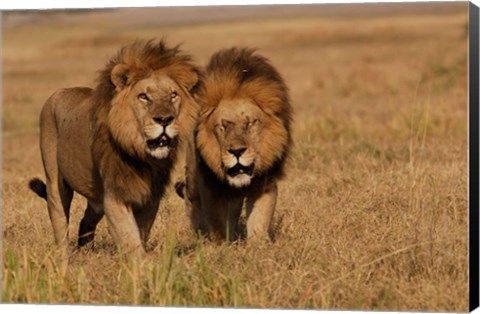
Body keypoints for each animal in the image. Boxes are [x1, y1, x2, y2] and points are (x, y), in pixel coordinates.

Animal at [28, 39, 201, 255]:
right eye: (143, 96)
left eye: (173, 95)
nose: (164, 120)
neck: (142, 155)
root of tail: (60, 91)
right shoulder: (114, 196)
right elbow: (130, 239)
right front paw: (140, 263)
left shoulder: (150, 197)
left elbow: (140, 234)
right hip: (55, 183)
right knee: (60, 221)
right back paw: (64, 256)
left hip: (95, 198)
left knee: (86, 221)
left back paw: (87, 252)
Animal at [176, 47, 292, 243]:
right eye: (222, 126)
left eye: (251, 123)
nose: (237, 151)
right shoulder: (210, 186)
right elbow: (216, 221)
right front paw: (221, 245)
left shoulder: (265, 182)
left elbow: (260, 218)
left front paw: (259, 244)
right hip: (191, 178)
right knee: (191, 200)